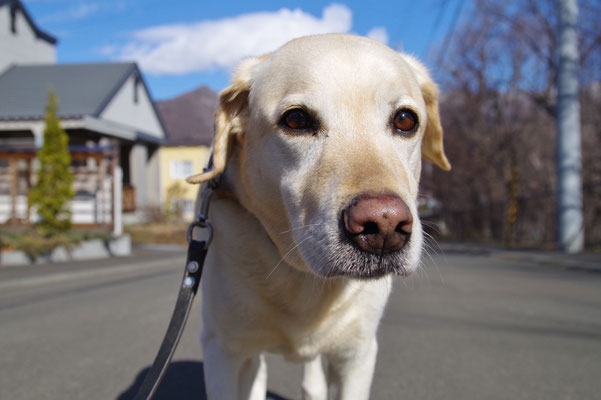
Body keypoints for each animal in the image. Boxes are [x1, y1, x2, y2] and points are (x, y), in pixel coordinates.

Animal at [188, 34, 450, 400]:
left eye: (405, 120)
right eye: (296, 120)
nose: (383, 225)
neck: (301, 274)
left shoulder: (357, 354)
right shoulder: (223, 350)